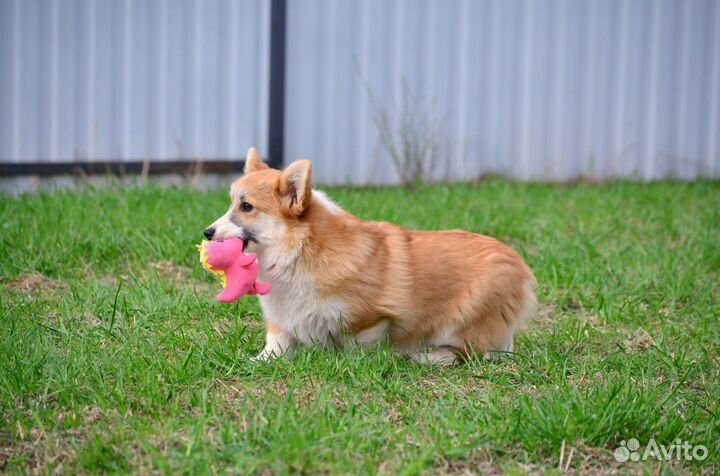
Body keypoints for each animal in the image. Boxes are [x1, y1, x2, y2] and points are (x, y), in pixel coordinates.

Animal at [202, 148, 536, 364]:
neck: (298, 251)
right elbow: (276, 345)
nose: (206, 232)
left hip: (468, 313)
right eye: (231, 203)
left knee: (473, 352)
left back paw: (429, 355)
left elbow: (357, 344)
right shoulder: (281, 321)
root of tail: (518, 264)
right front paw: (256, 361)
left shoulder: (370, 320)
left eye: (246, 207)